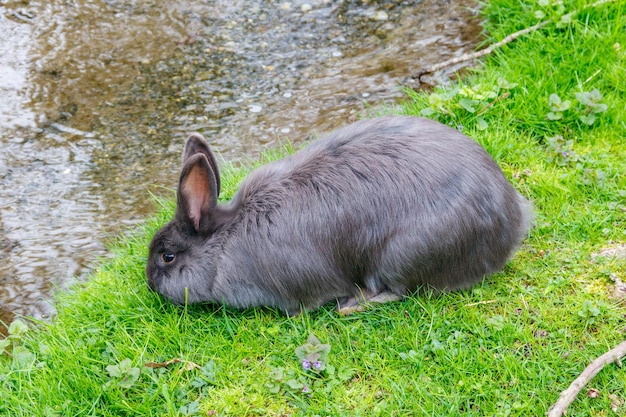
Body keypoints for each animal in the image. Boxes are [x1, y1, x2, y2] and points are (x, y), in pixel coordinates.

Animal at [146, 115, 532, 314]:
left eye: (167, 257)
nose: (150, 284)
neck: (226, 242)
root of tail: (512, 223)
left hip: (402, 255)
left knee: (400, 290)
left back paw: (353, 304)